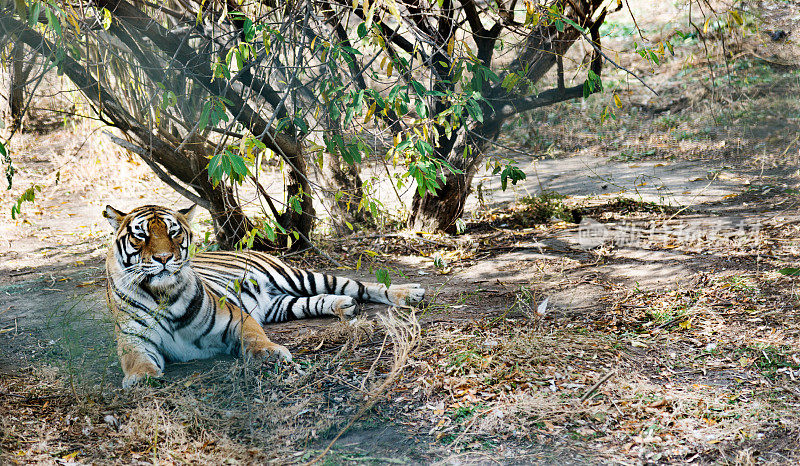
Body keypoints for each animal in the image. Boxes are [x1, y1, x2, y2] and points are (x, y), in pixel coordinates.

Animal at [104, 206, 424, 388]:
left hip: (299, 277)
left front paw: (270, 353)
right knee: (318, 300)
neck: (163, 294)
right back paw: (344, 307)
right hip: (281, 305)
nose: (164, 258)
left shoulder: (235, 316)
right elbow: (134, 359)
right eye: (140, 236)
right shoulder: (133, 338)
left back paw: (409, 293)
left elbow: (255, 336)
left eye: (174, 233)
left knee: (358, 285)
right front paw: (141, 377)